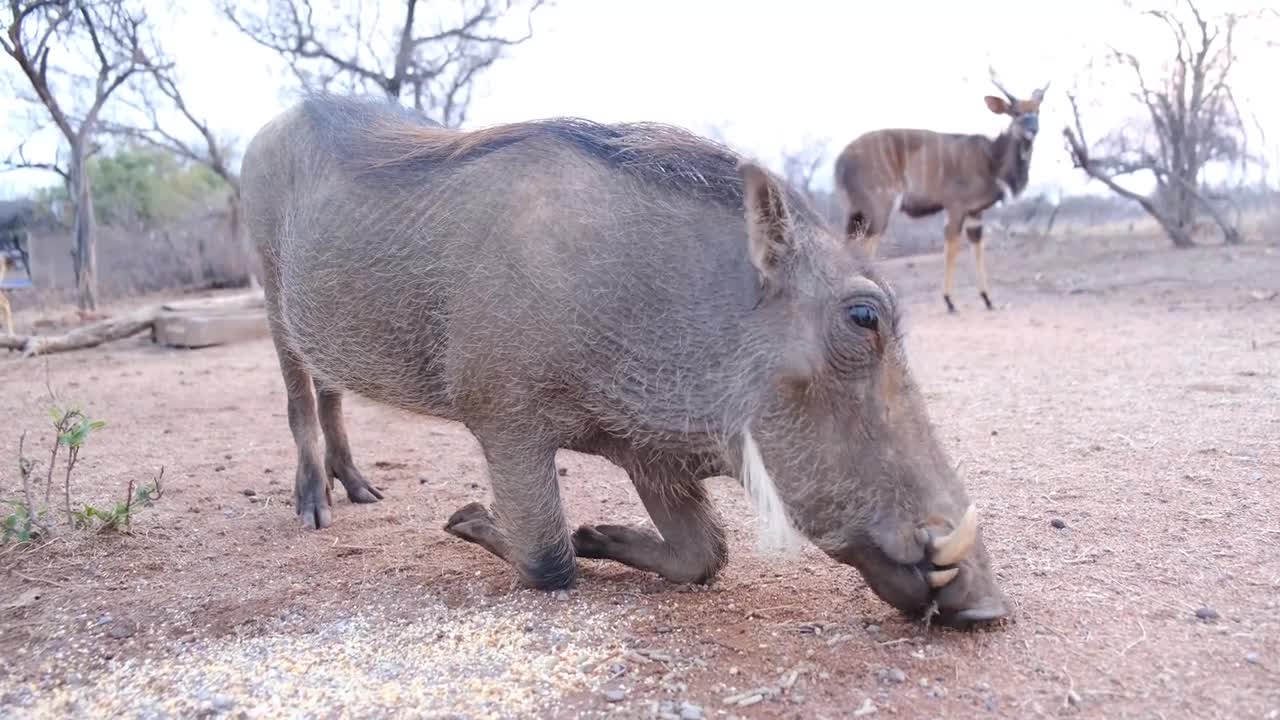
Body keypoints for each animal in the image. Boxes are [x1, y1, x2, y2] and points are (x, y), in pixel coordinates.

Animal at [829, 67, 1049, 311]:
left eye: (1037, 111)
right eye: (1016, 113)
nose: (1033, 130)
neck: (992, 159)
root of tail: (840, 161)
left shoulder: (975, 212)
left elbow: (977, 245)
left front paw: (987, 298)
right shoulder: (956, 206)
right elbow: (951, 246)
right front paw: (950, 301)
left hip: (856, 213)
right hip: (878, 209)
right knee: (865, 248)